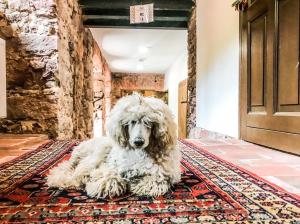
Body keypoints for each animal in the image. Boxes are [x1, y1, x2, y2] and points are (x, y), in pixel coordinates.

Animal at [47, 93, 180, 198]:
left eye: (148, 123)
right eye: (132, 121)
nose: (138, 142)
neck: (139, 152)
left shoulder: (164, 174)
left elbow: (155, 180)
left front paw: (134, 183)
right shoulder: (113, 166)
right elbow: (110, 176)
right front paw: (102, 184)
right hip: (99, 152)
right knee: (77, 172)